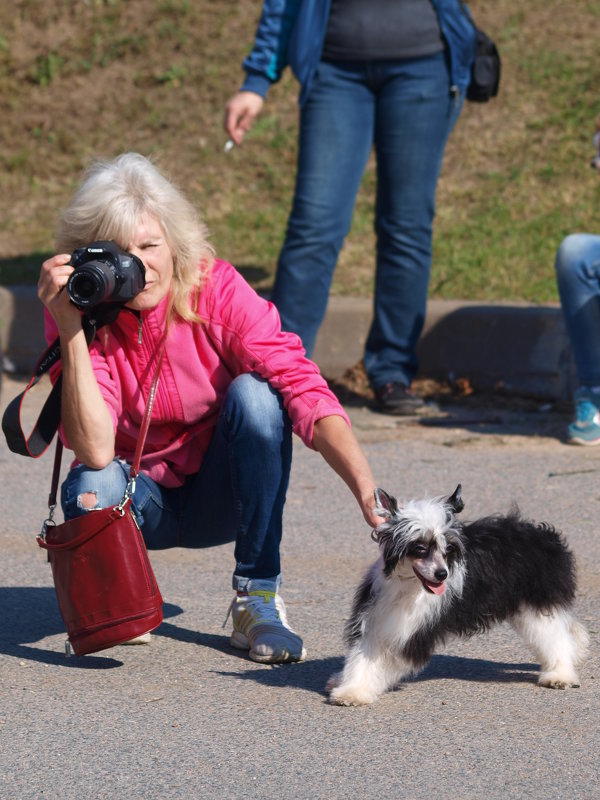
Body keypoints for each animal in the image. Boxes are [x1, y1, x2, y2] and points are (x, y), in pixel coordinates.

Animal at [326, 484, 588, 704]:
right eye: (420, 548)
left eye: (448, 548)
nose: (442, 574)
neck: (408, 586)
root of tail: (545, 535)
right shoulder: (376, 619)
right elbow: (363, 657)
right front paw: (351, 688)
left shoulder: (412, 634)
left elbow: (383, 662)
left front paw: (358, 691)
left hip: (538, 603)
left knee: (556, 638)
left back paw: (560, 674)